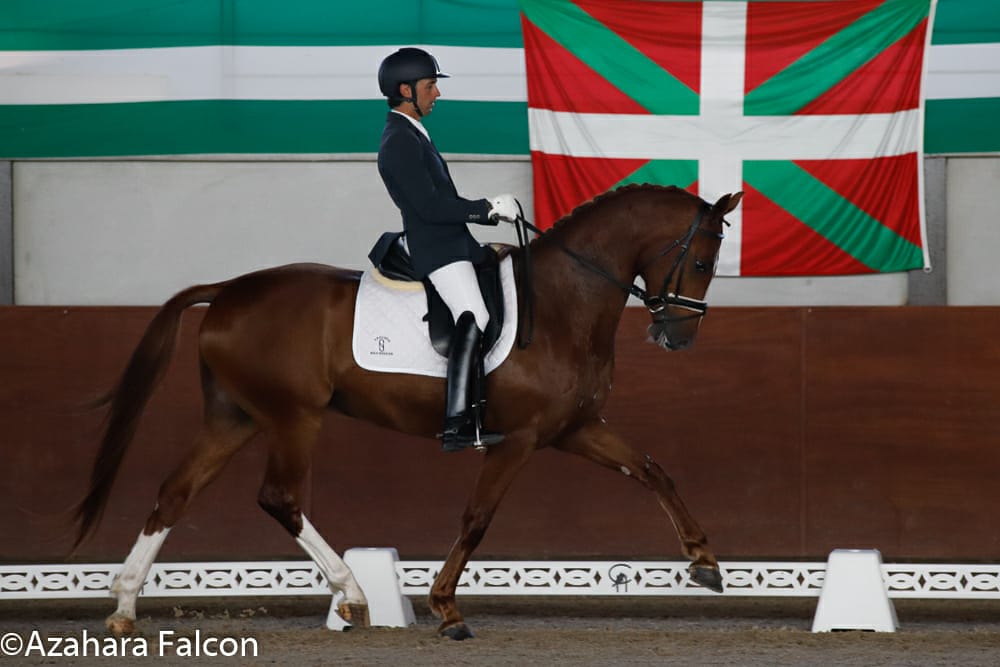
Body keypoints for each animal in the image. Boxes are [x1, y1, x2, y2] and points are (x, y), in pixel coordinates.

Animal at [72, 184, 744, 640]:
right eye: (703, 262)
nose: (678, 337)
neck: (563, 303)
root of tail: (228, 291)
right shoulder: (518, 438)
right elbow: (477, 518)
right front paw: (446, 609)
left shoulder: (573, 428)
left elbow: (652, 470)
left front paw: (705, 563)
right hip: (293, 418)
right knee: (279, 497)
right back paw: (350, 593)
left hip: (234, 417)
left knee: (174, 493)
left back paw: (125, 605)